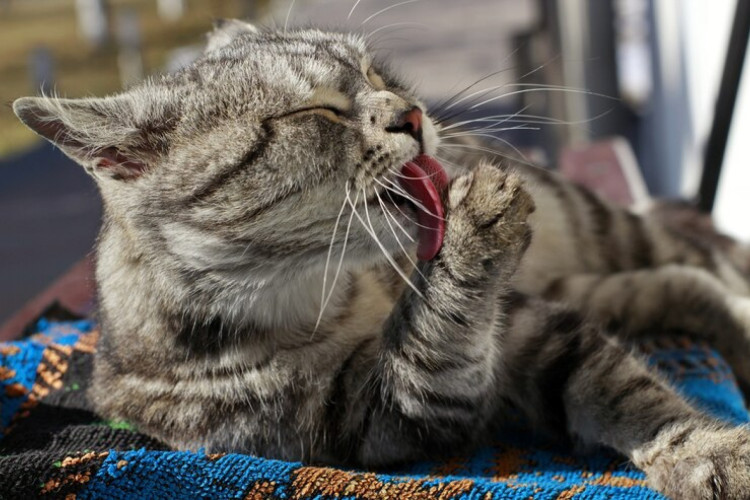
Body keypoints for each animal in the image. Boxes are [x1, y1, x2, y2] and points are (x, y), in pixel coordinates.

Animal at [13, 19, 750, 500]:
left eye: (374, 74)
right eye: (314, 111)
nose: (414, 114)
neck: (332, 291)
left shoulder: (528, 327)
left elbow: (628, 393)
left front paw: (707, 450)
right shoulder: (389, 415)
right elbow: (435, 338)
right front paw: (470, 235)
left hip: (606, 230)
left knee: (700, 262)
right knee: (685, 282)